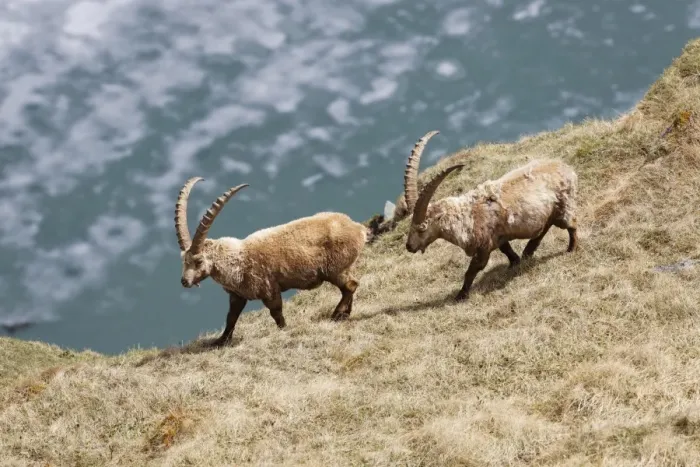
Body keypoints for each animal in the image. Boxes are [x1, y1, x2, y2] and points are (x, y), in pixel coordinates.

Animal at [174, 178, 368, 346]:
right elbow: (231, 317)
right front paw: (220, 341)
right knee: (350, 286)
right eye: (183, 260)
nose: (184, 281)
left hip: (334, 269)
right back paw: (344, 314)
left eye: (198, 261)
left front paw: (284, 330)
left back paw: (336, 315)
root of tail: (358, 228)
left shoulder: (269, 290)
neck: (238, 260)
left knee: (350, 285)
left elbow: (276, 313)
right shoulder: (237, 295)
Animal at [402, 132, 579, 301]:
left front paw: (461, 295)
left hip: (563, 205)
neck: (465, 216)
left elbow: (472, 270)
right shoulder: (498, 237)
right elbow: (506, 249)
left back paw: (571, 249)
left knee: (571, 224)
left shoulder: (483, 247)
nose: (409, 247)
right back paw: (528, 252)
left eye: (422, 229)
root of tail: (568, 169)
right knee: (544, 228)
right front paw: (515, 262)